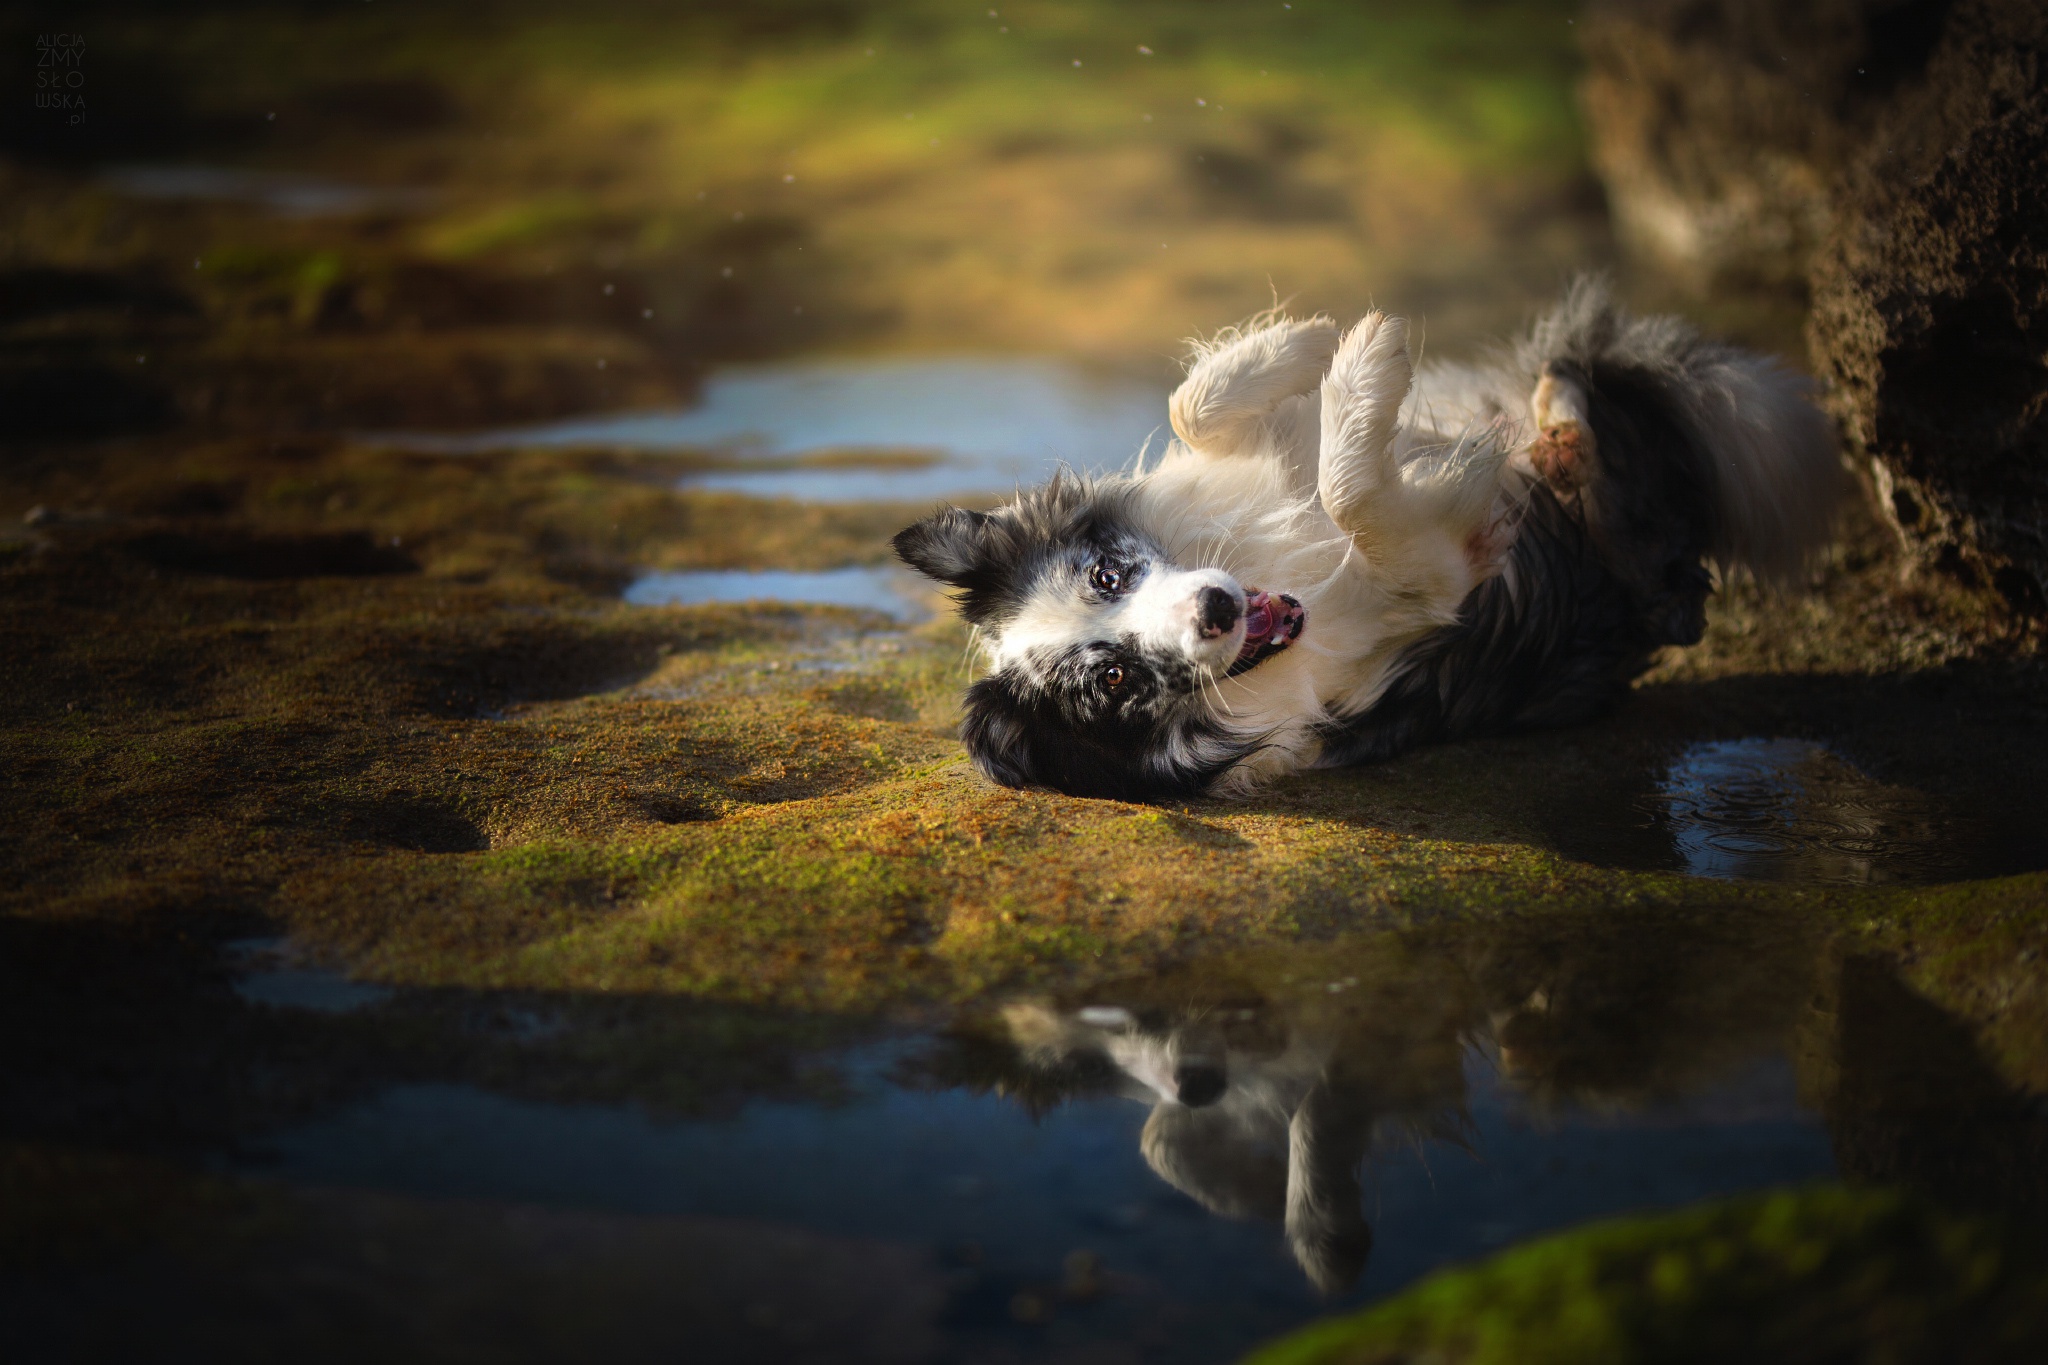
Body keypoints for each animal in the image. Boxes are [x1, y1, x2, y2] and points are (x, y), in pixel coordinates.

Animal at [897, 286, 1843, 802]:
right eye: (1115, 683)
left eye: (1106, 573)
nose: (1217, 607)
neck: (1282, 584)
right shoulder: (1432, 583)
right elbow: (1358, 497)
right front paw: (1363, 372)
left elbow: (1194, 402)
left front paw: (1321, 345)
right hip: (1632, 547)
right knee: (1604, 457)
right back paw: (1561, 433)